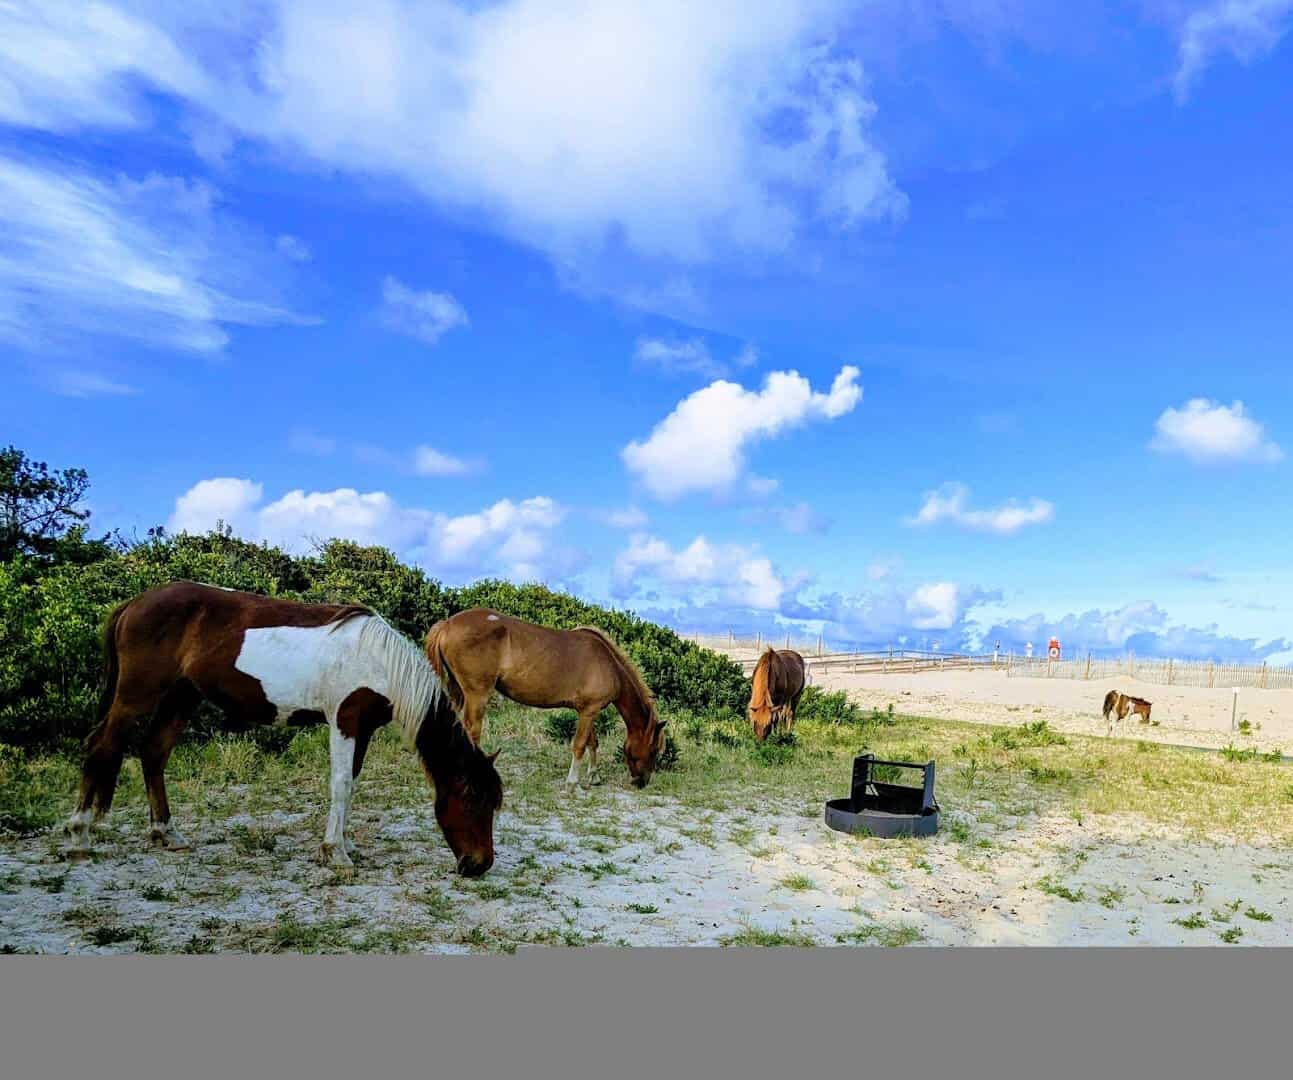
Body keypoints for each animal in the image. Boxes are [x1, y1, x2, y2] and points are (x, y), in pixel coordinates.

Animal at [61, 581, 502, 877]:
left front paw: (344, 843)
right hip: (137, 694)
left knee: (153, 752)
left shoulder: (362, 729)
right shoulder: (344, 721)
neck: (378, 662)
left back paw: (166, 833)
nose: (479, 865)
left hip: (180, 697)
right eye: (473, 800)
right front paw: (335, 853)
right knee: (102, 746)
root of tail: (134, 603)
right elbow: (340, 783)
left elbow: (353, 783)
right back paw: (79, 837)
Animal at [425, 609, 666, 790]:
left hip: (457, 690)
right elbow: (579, 745)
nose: (642, 782)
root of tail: (447, 624)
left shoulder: (587, 711)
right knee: (472, 730)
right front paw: (572, 783)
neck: (609, 665)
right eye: (654, 750)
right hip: (477, 695)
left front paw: (594, 777)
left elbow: (592, 742)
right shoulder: (589, 711)